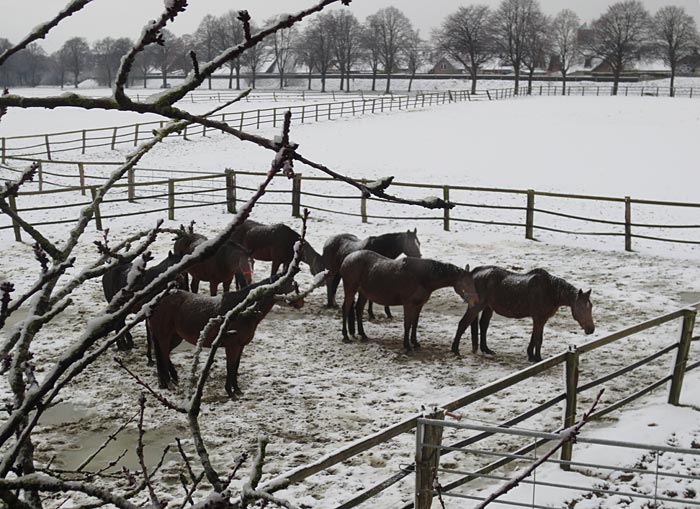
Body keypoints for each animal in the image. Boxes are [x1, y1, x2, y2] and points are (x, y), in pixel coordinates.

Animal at [148, 274, 303, 399]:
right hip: (164, 336)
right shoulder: (232, 346)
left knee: (164, 355)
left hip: (175, 337)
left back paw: (167, 381)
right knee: (162, 356)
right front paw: (230, 392)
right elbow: (230, 367)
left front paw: (237, 390)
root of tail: (157, 301)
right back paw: (168, 383)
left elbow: (235, 367)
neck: (241, 311)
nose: (300, 302)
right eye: (288, 284)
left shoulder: (240, 346)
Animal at [340, 250, 478, 352]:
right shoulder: (408, 304)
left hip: (363, 293)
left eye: (473, 282)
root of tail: (347, 258)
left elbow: (414, 324)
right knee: (346, 309)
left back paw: (363, 334)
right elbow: (407, 324)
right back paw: (345, 336)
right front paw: (407, 345)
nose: (475, 302)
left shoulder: (419, 305)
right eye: (466, 283)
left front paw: (415, 343)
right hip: (350, 290)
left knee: (358, 309)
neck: (422, 277)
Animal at [452, 266, 595, 362]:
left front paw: (531, 355)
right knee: (463, 324)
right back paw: (455, 350)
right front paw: (538, 358)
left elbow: (535, 337)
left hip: (488, 307)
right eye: (581, 308)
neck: (550, 290)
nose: (591, 329)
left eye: (591, 307)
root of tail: (474, 273)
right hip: (476, 306)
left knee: (483, 325)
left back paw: (486, 349)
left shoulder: (541, 319)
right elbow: (538, 339)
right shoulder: (538, 318)